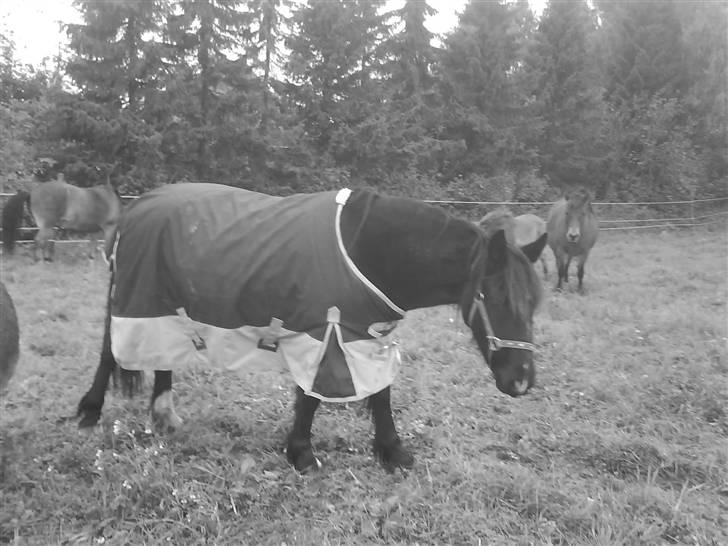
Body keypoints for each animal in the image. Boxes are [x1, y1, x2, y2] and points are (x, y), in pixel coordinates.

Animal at [76, 183, 547, 473]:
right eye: (493, 298)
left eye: (534, 303)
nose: (521, 381)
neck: (367, 250)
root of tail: (140, 204)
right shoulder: (325, 331)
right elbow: (311, 398)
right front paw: (302, 454)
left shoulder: (366, 334)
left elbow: (380, 394)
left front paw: (393, 453)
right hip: (135, 299)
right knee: (110, 349)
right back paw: (89, 411)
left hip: (168, 306)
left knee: (162, 355)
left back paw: (164, 414)